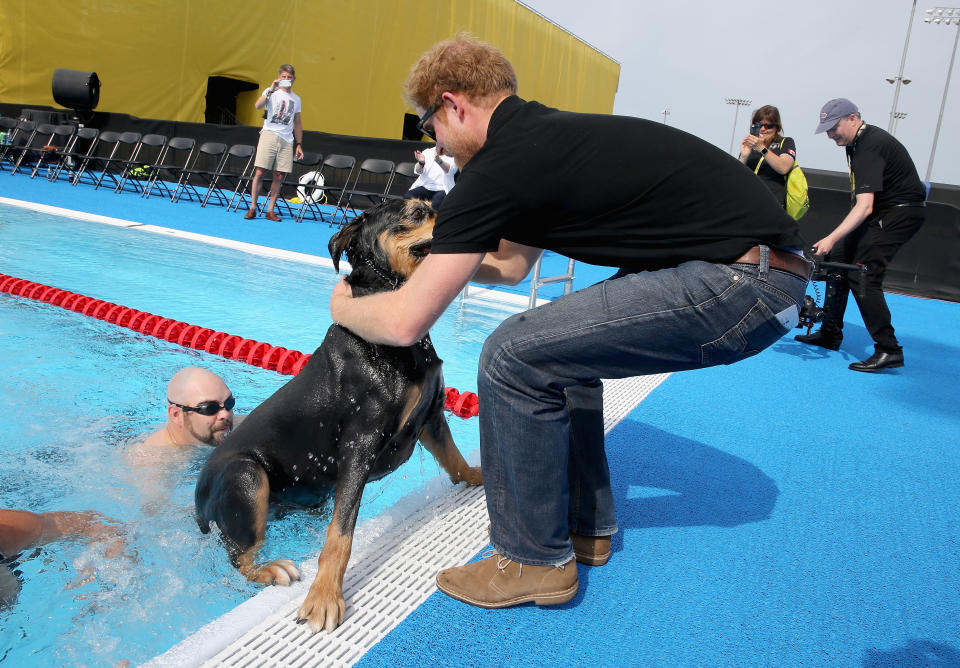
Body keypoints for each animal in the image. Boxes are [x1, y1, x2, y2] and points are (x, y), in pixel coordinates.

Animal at [195, 197, 484, 632]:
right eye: (417, 212)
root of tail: (196, 498)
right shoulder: (359, 445)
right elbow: (340, 535)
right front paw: (324, 597)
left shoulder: (430, 415)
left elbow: (453, 456)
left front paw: (476, 476)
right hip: (245, 476)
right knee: (239, 556)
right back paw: (270, 569)